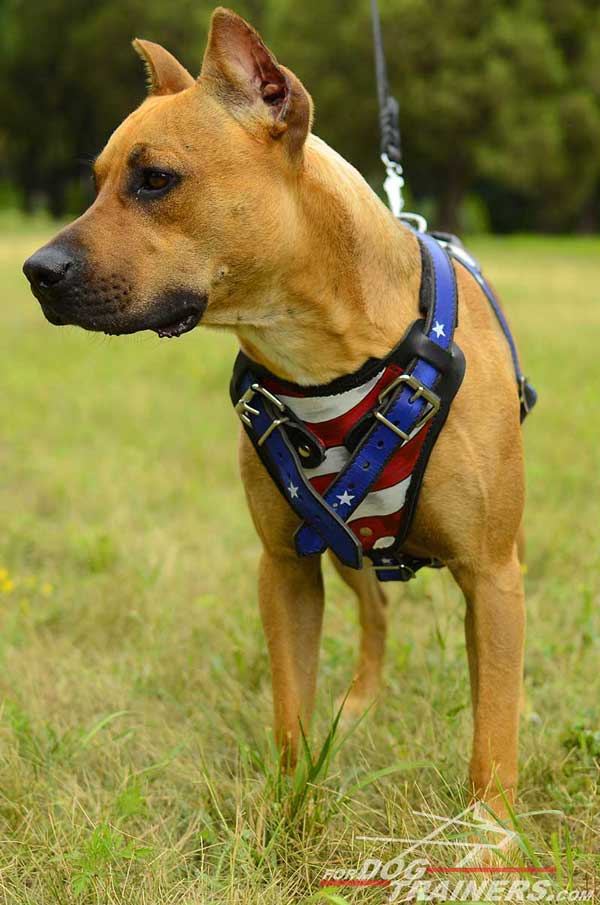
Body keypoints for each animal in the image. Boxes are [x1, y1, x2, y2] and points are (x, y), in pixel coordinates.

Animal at [22, 7, 524, 816]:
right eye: (96, 183)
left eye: (155, 180)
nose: (36, 271)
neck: (323, 352)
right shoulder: (285, 568)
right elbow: (290, 713)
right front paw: (292, 812)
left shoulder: (492, 575)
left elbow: (493, 733)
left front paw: (490, 831)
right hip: (345, 550)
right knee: (375, 614)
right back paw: (360, 705)